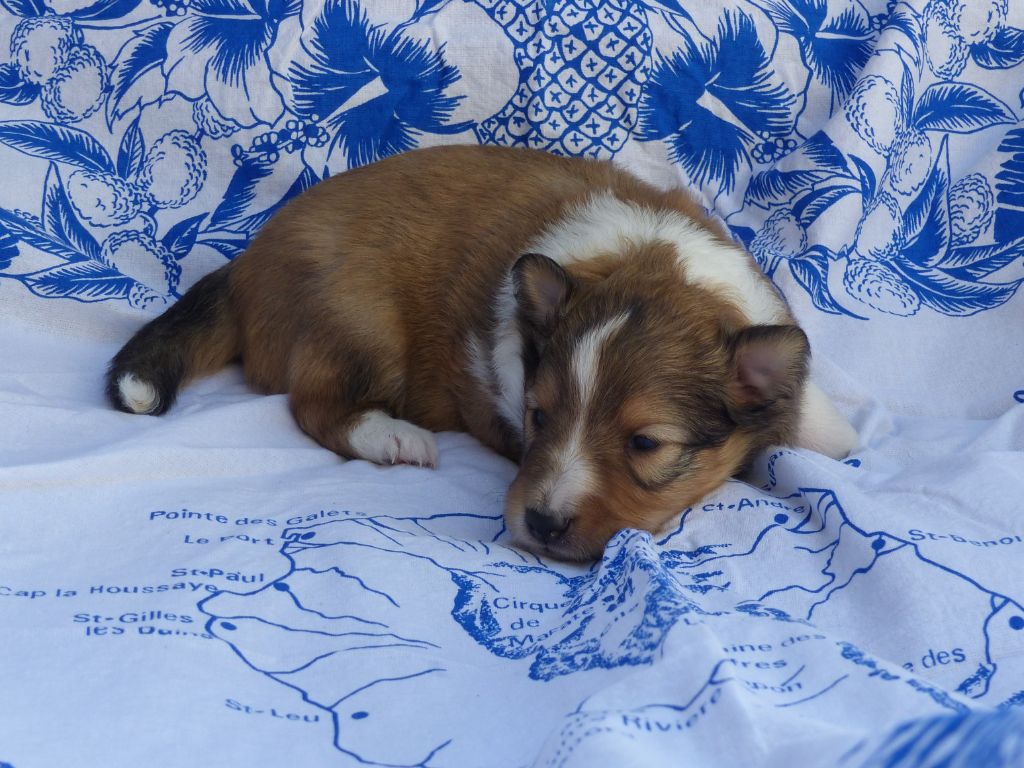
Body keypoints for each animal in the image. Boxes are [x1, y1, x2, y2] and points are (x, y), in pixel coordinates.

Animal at [107, 145, 857, 561]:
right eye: (538, 416)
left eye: (645, 445)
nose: (541, 523)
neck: (654, 263)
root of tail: (243, 264)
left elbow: (806, 404)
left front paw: (839, 432)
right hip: (357, 317)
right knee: (316, 403)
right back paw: (395, 438)